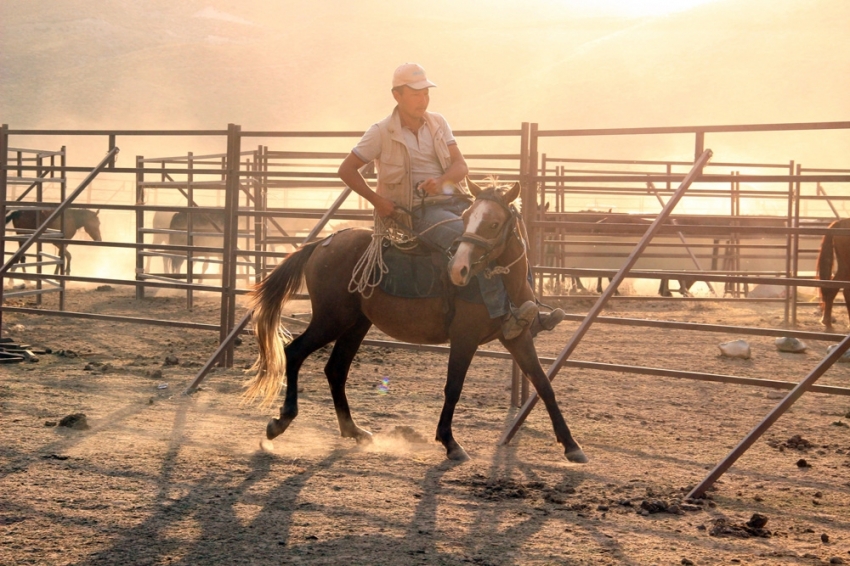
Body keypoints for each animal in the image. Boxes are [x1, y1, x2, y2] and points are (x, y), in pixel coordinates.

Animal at [245, 182, 588, 466]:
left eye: (493, 223)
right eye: (466, 218)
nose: (459, 269)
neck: (504, 284)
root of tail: (323, 243)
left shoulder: (517, 338)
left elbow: (543, 384)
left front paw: (571, 446)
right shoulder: (464, 338)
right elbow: (453, 387)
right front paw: (450, 443)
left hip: (356, 324)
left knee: (335, 369)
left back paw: (354, 431)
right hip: (330, 320)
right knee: (295, 353)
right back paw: (280, 422)